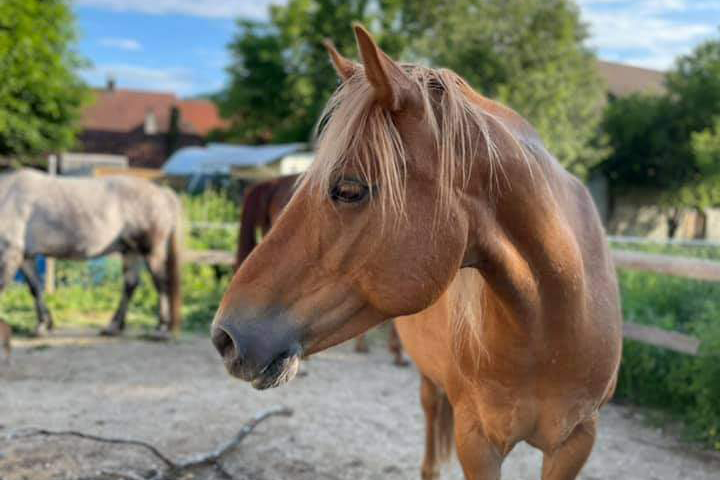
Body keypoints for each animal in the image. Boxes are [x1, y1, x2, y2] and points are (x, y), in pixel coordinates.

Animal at [0, 171, 180, 336]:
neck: (6, 197)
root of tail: (162, 194)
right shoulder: (25, 257)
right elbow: (35, 288)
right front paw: (43, 324)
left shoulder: (10, 253)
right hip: (131, 252)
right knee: (130, 285)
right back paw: (114, 327)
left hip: (150, 252)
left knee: (160, 283)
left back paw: (161, 327)